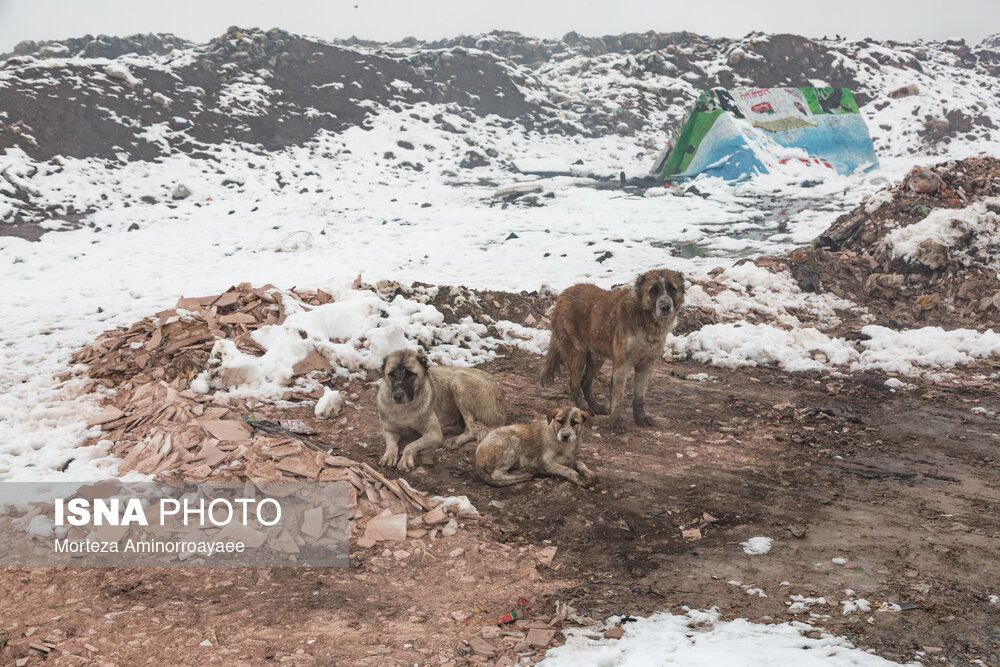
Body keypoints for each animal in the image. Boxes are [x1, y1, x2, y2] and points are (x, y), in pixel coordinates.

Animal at [540, 270, 688, 434]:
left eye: (672, 289)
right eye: (653, 290)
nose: (665, 306)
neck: (645, 317)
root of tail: (562, 295)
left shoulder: (646, 366)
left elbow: (639, 397)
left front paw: (640, 418)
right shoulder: (622, 366)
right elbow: (618, 398)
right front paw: (616, 422)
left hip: (597, 358)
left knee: (585, 382)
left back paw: (595, 407)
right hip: (578, 355)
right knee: (574, 383)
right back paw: (584, 409)